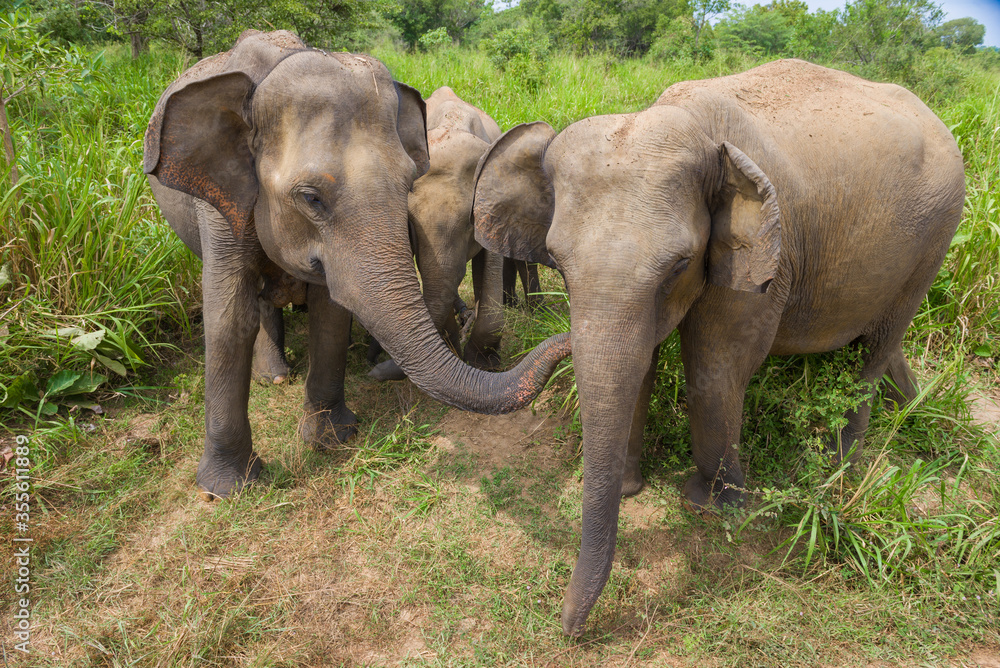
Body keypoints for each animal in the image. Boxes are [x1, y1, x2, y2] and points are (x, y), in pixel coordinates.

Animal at [143, 30, 570, 501]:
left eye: (407, 182)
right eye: (311, 198)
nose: (568, 335)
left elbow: (331, 310)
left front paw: (333, 439)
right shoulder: (219, 202)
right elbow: (228, 317)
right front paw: (226, 489)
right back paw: (274, 377)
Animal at [471, 59, 965, 636]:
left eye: (680, 264)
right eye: (556, 261)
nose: (569, 628)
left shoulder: (768, 252)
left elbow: (714, 369)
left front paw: (716, 507)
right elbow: (640, 362)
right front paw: (631, 489)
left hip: (935, 237)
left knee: (878, 346)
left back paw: (839, 463)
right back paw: (909, 405)